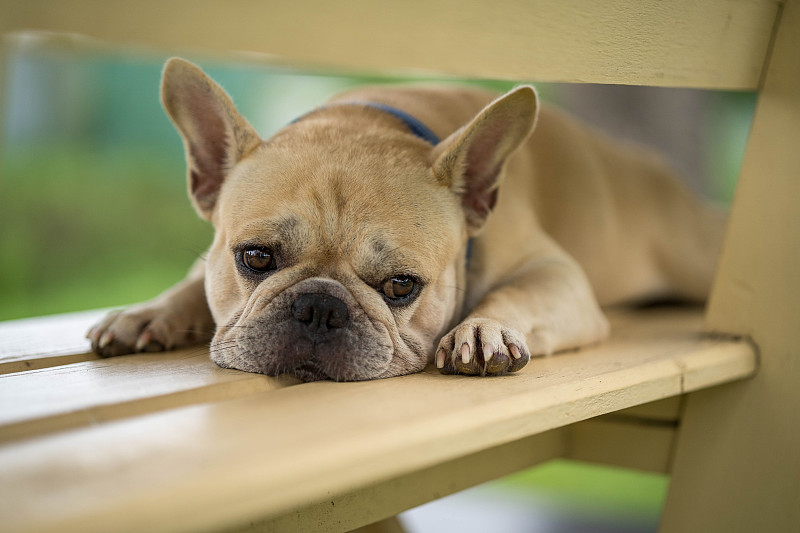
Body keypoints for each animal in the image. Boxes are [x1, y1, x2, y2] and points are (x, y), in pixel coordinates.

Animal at [86, 58, 724, 380]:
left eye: (401, 286)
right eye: (255, 257)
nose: (319, 308)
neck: (366, 123)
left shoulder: (557, 274)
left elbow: (517, 293)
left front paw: (482, 329)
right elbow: (195, 279)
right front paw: (149, 311)